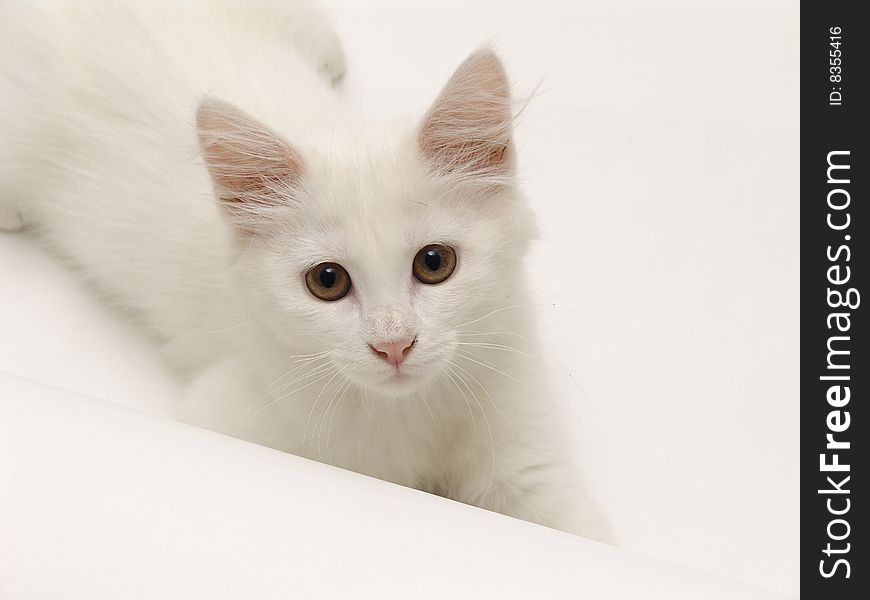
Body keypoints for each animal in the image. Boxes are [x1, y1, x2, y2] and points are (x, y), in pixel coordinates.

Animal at [0, 0, 612, 540]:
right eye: (327, 281)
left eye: (435, 263)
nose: (394, 346)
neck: (403, 416)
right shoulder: (225, 419)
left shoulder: (524, 444)